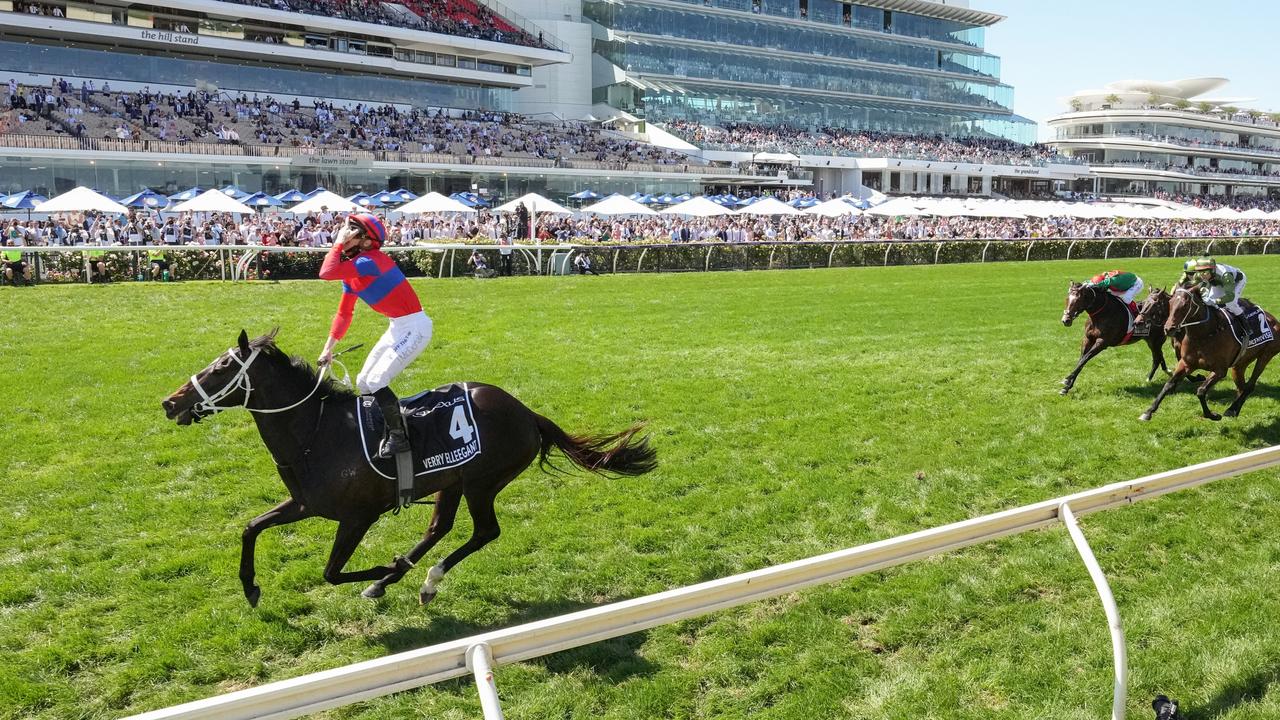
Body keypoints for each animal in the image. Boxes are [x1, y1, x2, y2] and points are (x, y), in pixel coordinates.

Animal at [162, 330, 660, 604]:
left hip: (482, 481)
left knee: (484, 532)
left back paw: (418, 578)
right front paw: (250, 587)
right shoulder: (305, 504)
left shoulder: (358, 516)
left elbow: (331, 573)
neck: (315, 432)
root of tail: (526, 412)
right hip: (452, 480)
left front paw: (387, 567)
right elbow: (250, 527)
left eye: (221, 368)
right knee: (440, 527)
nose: (170, 402)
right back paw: (402, 579)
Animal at [1141, 285, 1280, 420]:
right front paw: (1148, 412)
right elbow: (1168, 384)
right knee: (1242, 387)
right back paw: (1234, 410)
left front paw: (1212, 415)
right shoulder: (1186, 363)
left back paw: (1231, 409)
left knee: (1250, 385)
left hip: (1266, 355)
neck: (1204, 334)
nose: (1169, 328)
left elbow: (1201, 390)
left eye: (1185, 305)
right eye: (1170, 304)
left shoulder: (1220, 370)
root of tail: (1274, 319)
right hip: (1240, 364)